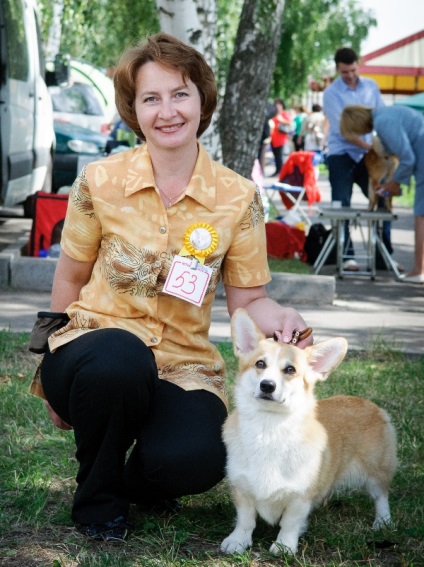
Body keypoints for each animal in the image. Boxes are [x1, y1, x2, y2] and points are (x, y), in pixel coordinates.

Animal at [222, 308, 398, 556]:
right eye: (260, 364)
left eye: (290, 370)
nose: (267, 385)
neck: (269, 427)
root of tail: (372, 405)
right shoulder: (242, 487)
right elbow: (245, 519)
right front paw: (237, 541)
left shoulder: (300, 496)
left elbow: (290, 522)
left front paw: (284, 546)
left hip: (375, 470)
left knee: (381, 495)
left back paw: (383, 522)